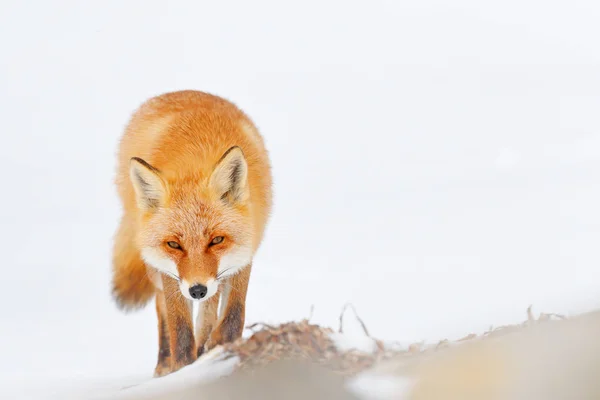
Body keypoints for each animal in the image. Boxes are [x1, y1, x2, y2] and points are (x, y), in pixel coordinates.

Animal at [110, 89, 274, 376]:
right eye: (174, 245)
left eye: (217, 240)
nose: (197, 290)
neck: (195, 160)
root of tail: (182, 92)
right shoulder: (171, 274)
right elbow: (180, 331)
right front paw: (182, 369)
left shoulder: (242, 255)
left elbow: (232, 317)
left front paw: (217, 349)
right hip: (156, 269)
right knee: (161, 308)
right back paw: (164, 363)